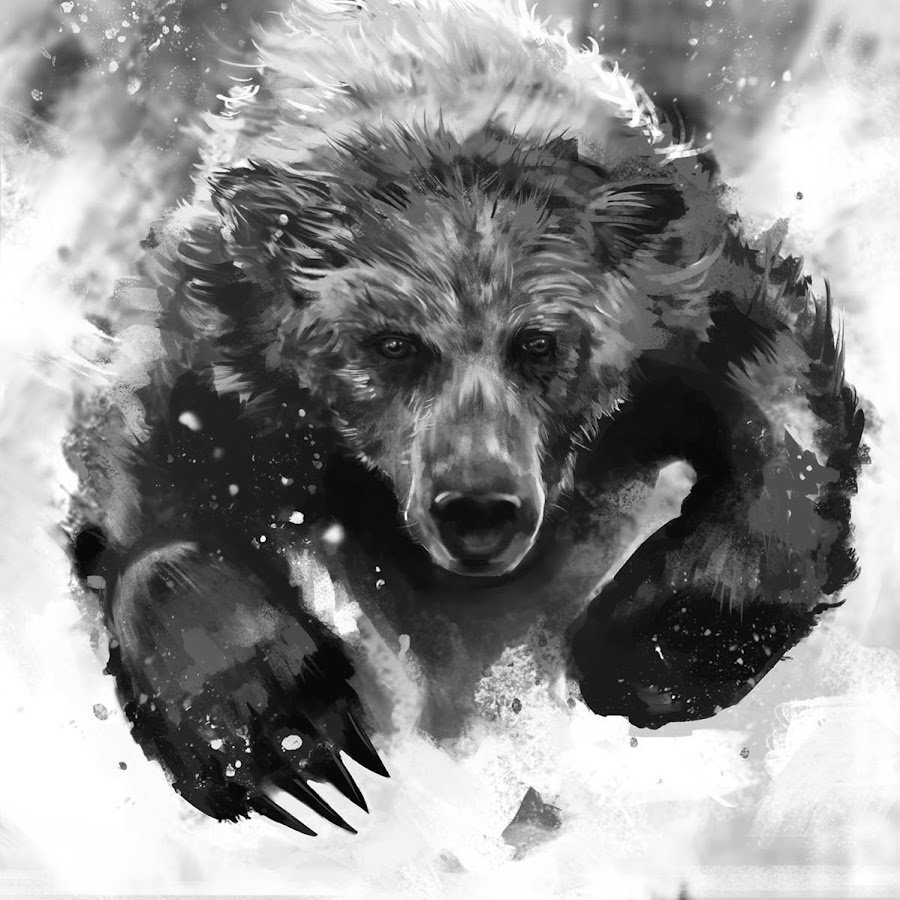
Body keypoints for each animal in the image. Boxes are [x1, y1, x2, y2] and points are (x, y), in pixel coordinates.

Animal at [69, 0, 865, 836]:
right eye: (392, 343)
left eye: (539, 341)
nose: (479, 509)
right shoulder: (223, 337)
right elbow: (147, 471)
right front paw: (283, 736)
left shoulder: (683, 292)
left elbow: (778, 391)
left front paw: (649, 647)